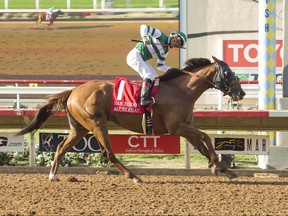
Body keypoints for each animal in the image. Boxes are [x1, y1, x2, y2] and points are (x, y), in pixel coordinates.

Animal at [15, 56, 245, 183]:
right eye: (228, 72)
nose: (241, 93)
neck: (182, 90)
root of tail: (73, 91)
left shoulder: (186, 126)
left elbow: (202, 145)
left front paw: (221, 168)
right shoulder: (177, 127)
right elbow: (205, 138)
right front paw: (219, 166)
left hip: (79, 127)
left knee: (62, 146)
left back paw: (53, 175)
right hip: (96, 124)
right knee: (108, 152)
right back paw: (134, 176)